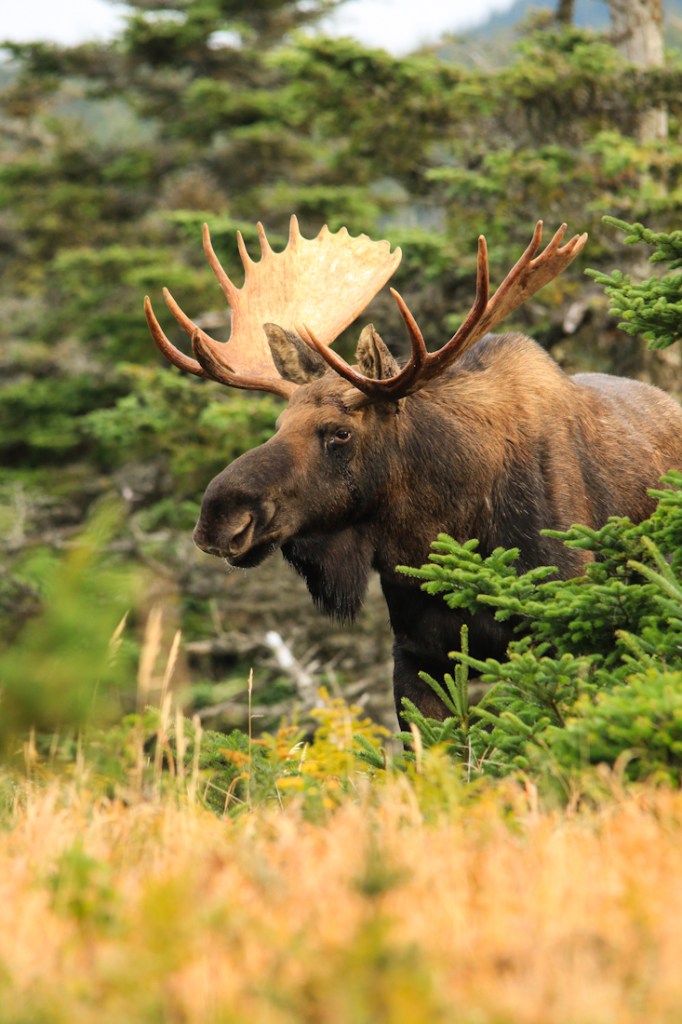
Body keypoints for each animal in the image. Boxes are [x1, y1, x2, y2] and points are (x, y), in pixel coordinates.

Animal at [144, 218, 682, 724]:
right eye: (279, 424)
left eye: (340, 433)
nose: (218, 517)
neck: (448, 529)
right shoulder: (416, 652)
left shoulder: (557, 628)